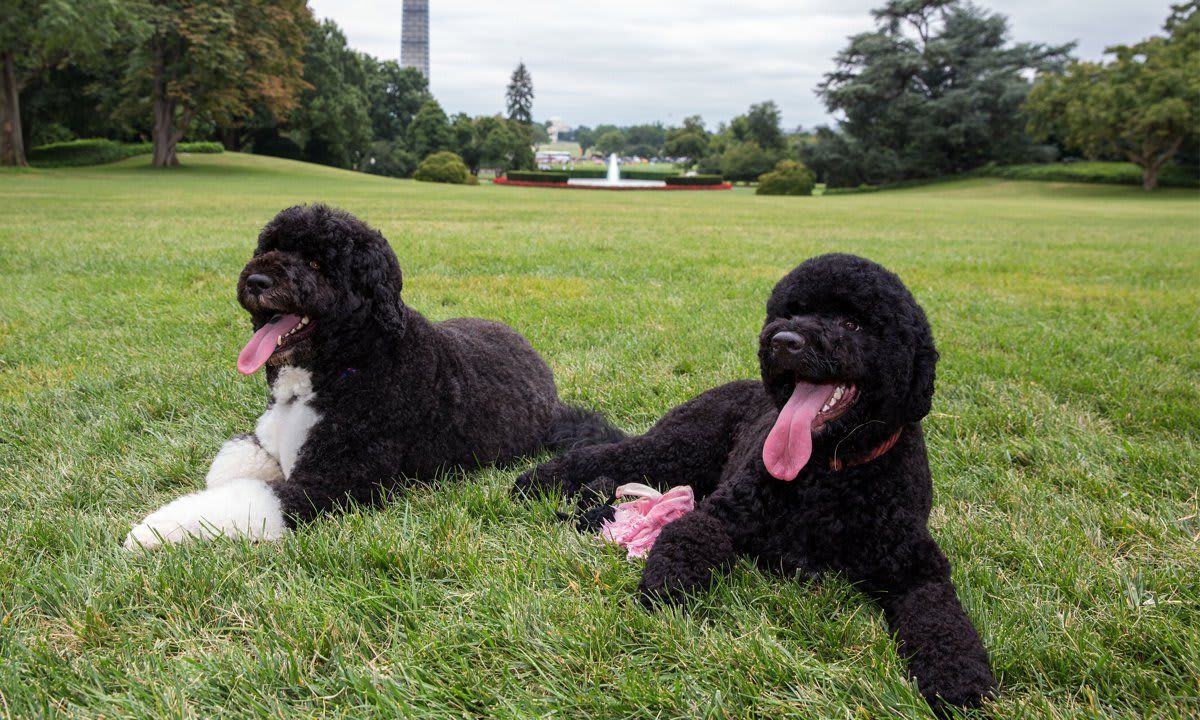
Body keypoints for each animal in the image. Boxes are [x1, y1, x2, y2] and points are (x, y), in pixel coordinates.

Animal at [126, 205, 624, 549]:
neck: (341, 367)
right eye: (270, 247)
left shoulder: (333, 483)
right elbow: (231, 466)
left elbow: (249, 497)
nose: (257, 281)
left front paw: (153, 530)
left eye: (317, 263)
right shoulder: (267, 441)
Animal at [513, 253, 993, 715]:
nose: (784, 341)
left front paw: (959, 679)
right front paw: (667, 588)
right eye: (792, 311)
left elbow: (943, 619)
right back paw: (537, 481)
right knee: (609, 454)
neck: (830, 472)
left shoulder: (917, 568)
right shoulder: (723, 514)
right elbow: (689, 535)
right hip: (678, 449)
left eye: (852, 323)